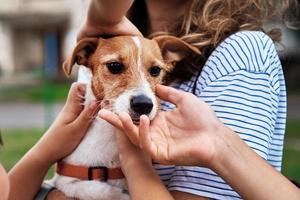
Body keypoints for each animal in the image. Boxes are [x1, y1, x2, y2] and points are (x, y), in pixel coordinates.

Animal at [49, 35, 199, 199]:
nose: (143, 104)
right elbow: (101, 191)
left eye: (155, 70)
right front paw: (119, 193)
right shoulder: (65, 181)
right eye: (114, 66)